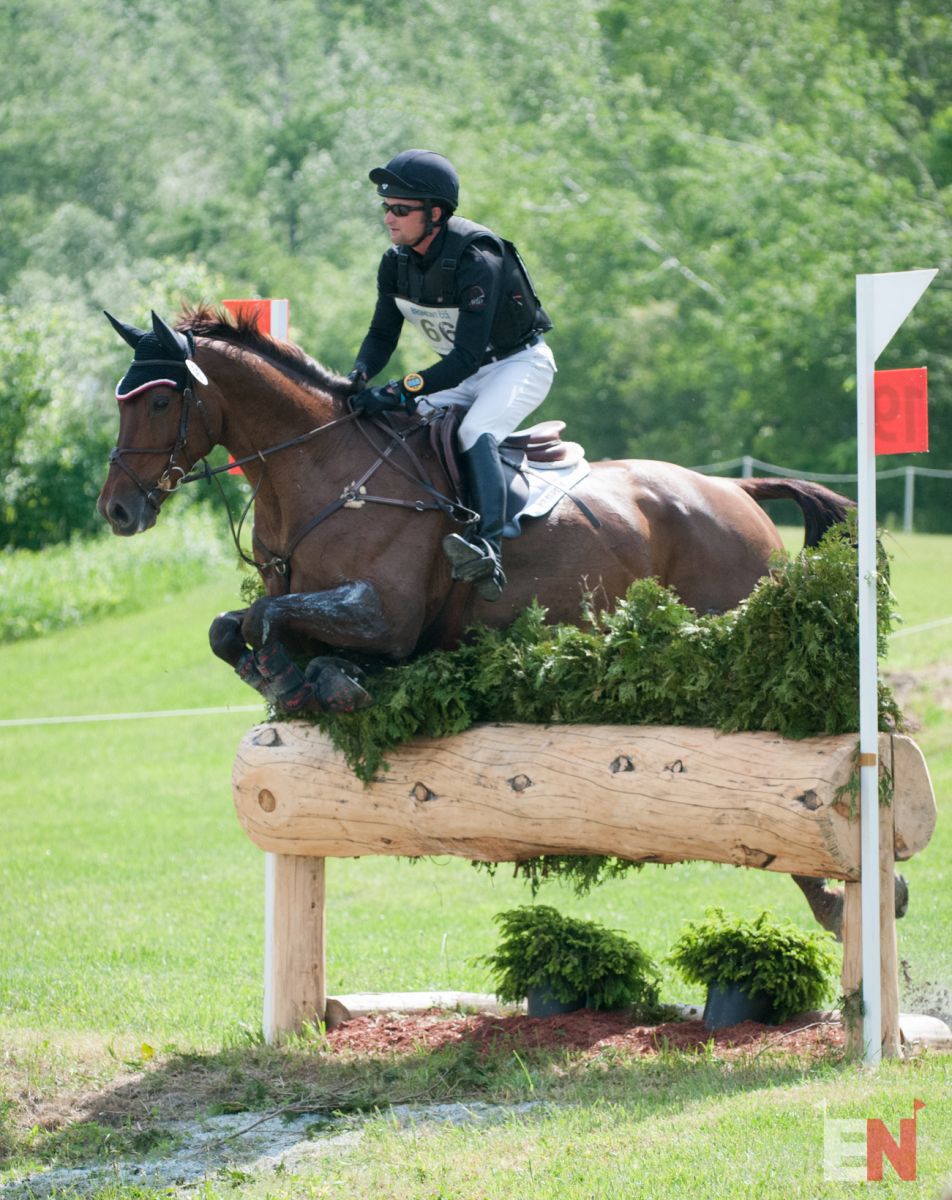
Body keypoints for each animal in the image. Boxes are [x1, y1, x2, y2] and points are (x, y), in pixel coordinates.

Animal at [96, 306, 877, 935]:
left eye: (160, 401)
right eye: (122, 402)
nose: (117, 511)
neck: (323, 474)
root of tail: (734, 489)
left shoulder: (388, 618)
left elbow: (267, 616)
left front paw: (304, 681)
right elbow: (233, 627)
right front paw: (301, 680)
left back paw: (846, 900)